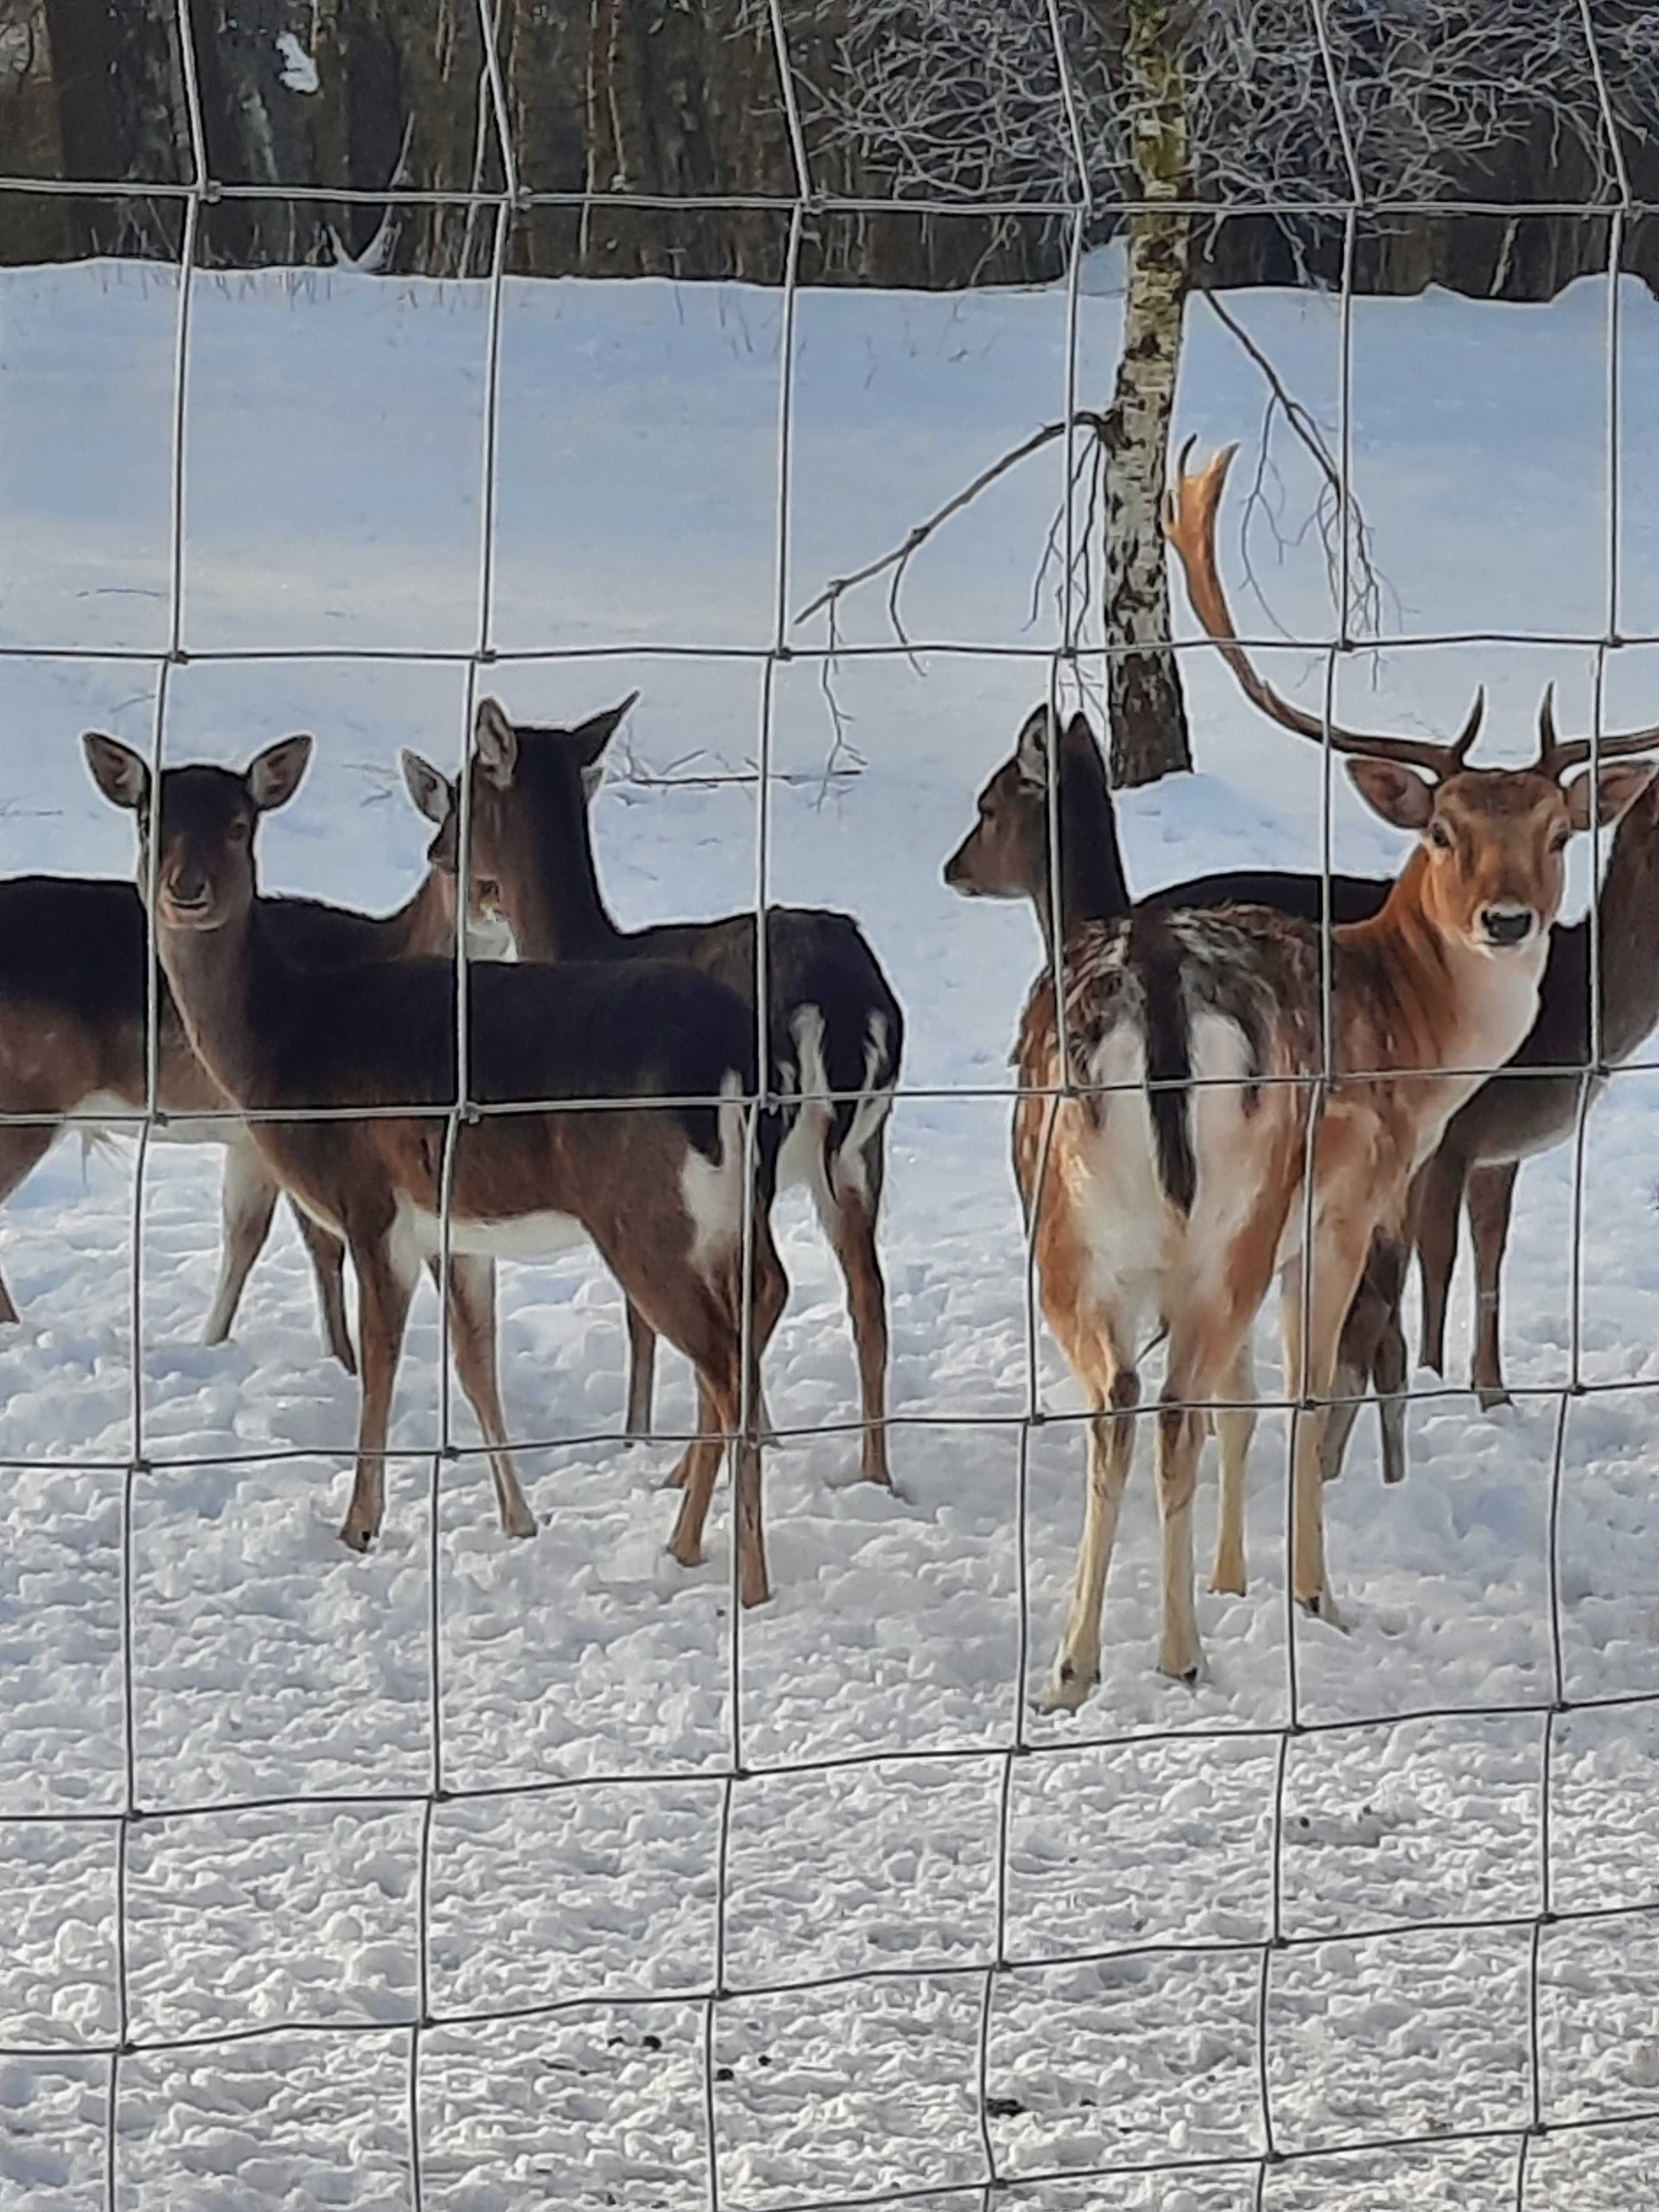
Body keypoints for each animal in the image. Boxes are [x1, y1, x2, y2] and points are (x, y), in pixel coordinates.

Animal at [85, 734, 792, 1601]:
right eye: (150, 818)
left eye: (240, 824)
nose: (187, 890)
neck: (284, 1043)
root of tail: (736, 1060)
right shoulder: (458, 1228)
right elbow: (475, 1360)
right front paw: (518, 1518)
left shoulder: (370, 1200)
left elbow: (380, 1363)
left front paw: (359, 1524)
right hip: (729, 1219)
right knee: (751, 1329)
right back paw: (692, 1544)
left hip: (648, 1216)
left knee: (725, 1364)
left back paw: (736, 1573)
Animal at [407, 690, 911, 1486]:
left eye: (468, 785)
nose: (436, 852)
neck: (582, 946)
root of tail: (839, 1002)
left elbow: (637, 1314)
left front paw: (635, 1436)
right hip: (862, 1149)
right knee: (868, 1295)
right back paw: (873, 1473)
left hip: (753, 1150)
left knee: (765, 1287)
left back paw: (705, 1462)